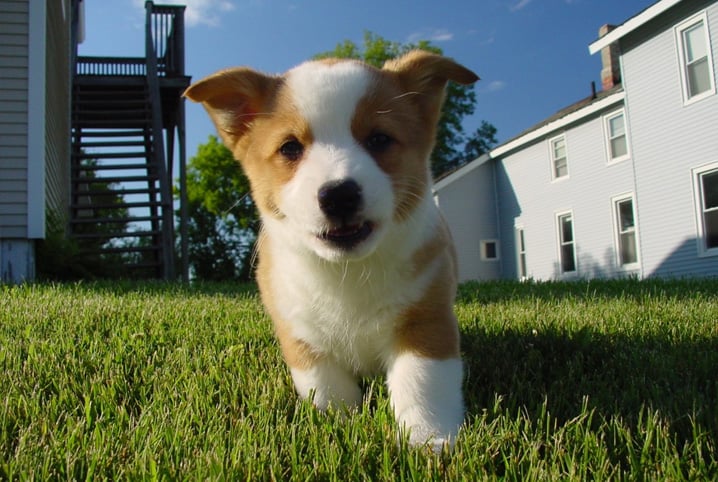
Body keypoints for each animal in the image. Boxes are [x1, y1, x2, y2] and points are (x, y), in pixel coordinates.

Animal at [183, 50, 480, 450]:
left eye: (379, 139)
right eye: (290, 147)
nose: (339, 194)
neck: (346, 271)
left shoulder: (426, 320)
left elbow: (423, 383)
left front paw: (430, 441)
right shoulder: (299, 332)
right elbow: (326, 388)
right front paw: (339, 427)